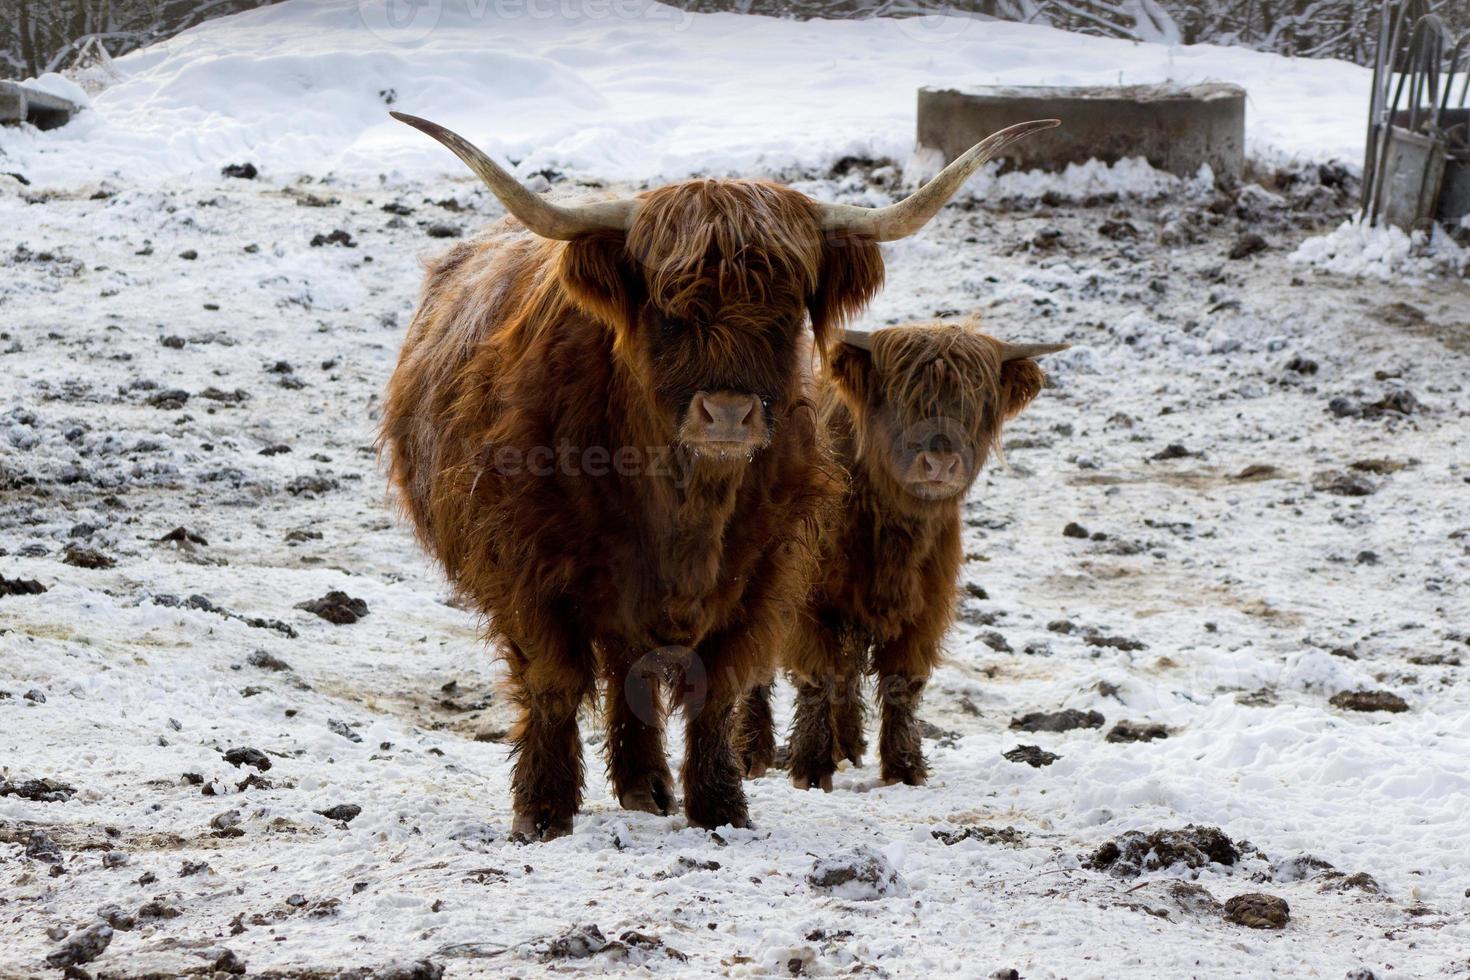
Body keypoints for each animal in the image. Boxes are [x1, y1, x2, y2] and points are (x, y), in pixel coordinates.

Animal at [735, 320, 1070, 787]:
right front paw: (811, 766)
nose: (940, 464)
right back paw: (752, 752)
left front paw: (904, 767)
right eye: (901, 398)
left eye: (977, 400)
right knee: (757, 670)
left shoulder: (925, 604)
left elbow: (902, 683)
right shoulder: (810, 602)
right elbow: (817, 676)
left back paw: (849, 746)